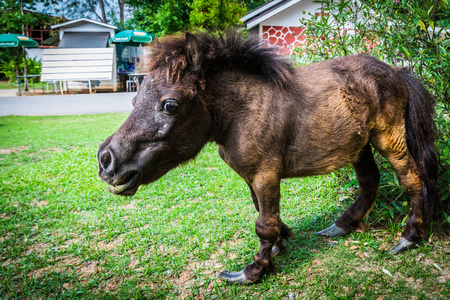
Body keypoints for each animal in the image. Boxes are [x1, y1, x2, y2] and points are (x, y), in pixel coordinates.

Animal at [97, 32, 440, 284]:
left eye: (170, 105)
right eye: (134, 99)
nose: (106, 160)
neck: (243, 111)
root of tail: (396, 71)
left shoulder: (265, 175)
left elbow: (264, 223)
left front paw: (253, 270)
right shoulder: (252, 177)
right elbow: (263, 213)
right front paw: (280, 242)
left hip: (389, 139)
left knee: (412, 181)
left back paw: (408, 238)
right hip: (361, 145)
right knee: (370, 182)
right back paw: (341, 226)